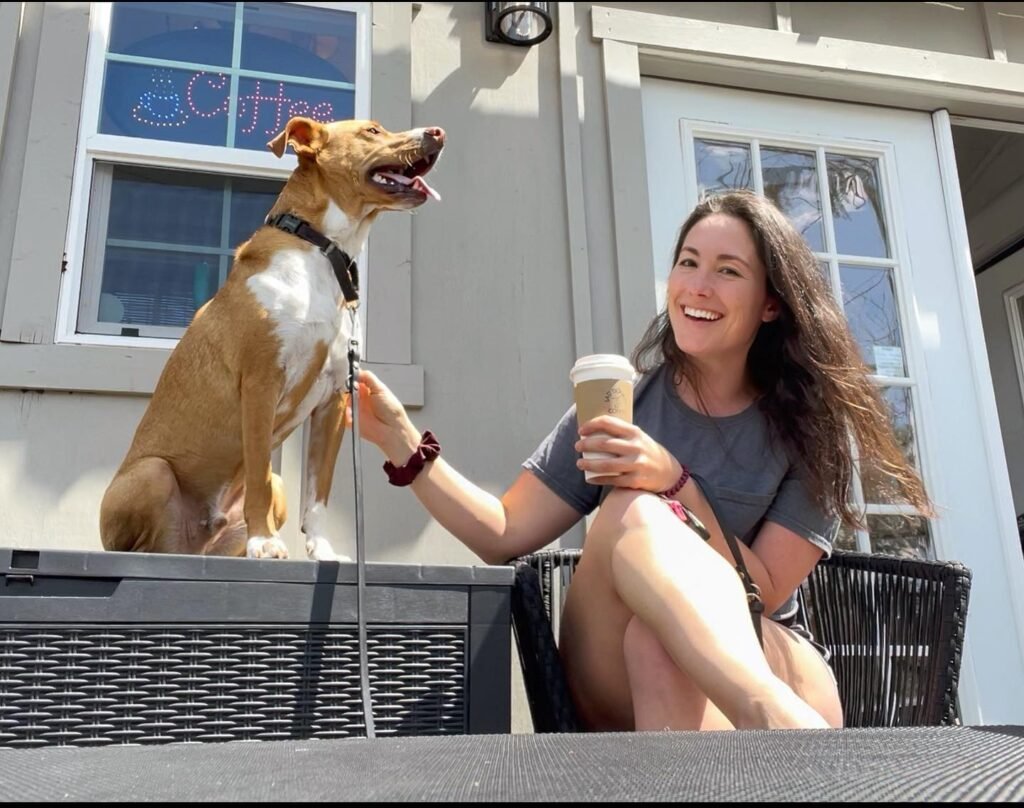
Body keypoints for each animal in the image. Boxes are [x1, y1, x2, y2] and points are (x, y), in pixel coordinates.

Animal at [98, 116, 444, 561]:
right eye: (371, 131)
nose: (438, 132)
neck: (320, 251)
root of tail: (191, 546)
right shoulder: (262, 383)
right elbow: (259, 475)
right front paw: (264, 540)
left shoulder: (333, 401)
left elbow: (317, 495)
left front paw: (323, 550)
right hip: (151, 473)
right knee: (138, 549)